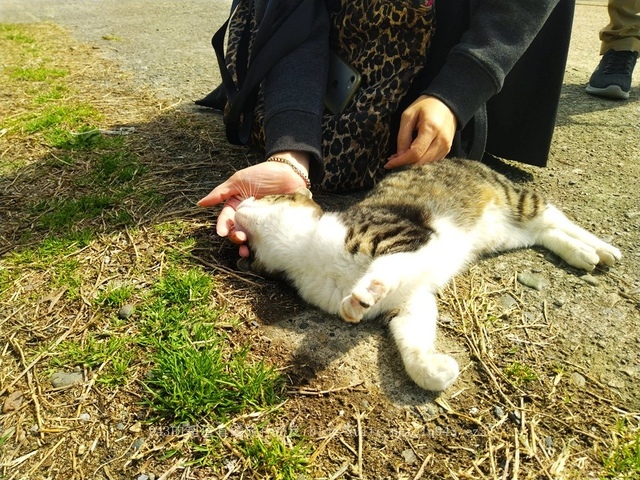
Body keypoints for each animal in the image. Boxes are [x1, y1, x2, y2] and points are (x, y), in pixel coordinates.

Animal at [232, 159, 624, 392]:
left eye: (268, 198)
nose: (236, 204)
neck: (308, 252)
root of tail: (464, 157)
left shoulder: (406, 237)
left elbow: (386, 267)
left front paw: (364, 292)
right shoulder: (410, 301)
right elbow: (413, 337)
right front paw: (434, 370)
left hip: (514, 200)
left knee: (556, 217)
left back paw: (603, 248)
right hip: (506, 235)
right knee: (545, 233)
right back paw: (582, 254)